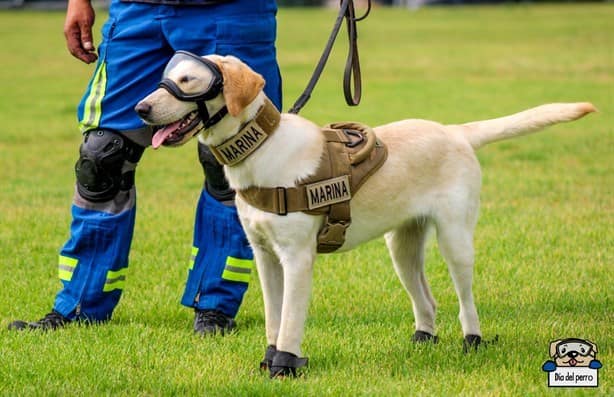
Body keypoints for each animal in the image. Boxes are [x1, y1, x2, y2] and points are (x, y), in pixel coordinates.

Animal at [136, 51, 596, 374]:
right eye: (166, 77)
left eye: (187, 80)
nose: (140, 109)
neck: (261, 149)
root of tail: (455, 132)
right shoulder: (265, 257)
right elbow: (272, 317)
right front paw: (268, 360)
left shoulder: (298, 259)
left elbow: (290, 320)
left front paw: (285, 366)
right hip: (402, 248)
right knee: (427, 300)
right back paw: (422, 340)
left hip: (455, 241)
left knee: (465, 301)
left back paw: (472, 342)